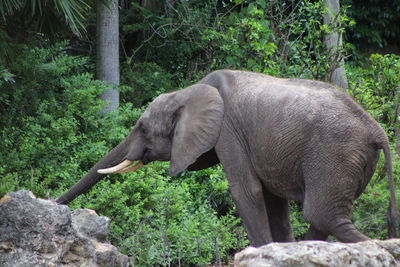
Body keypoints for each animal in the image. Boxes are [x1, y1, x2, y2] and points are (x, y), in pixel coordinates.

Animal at [57, 70, 400, 248]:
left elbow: (246, 190)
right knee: (322, 218)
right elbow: (273, 199)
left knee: (322, 214)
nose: (55, 204)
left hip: (334, 154)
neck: (191, 89)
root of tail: (377, 130)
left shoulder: (228, 132)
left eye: (142, 128)